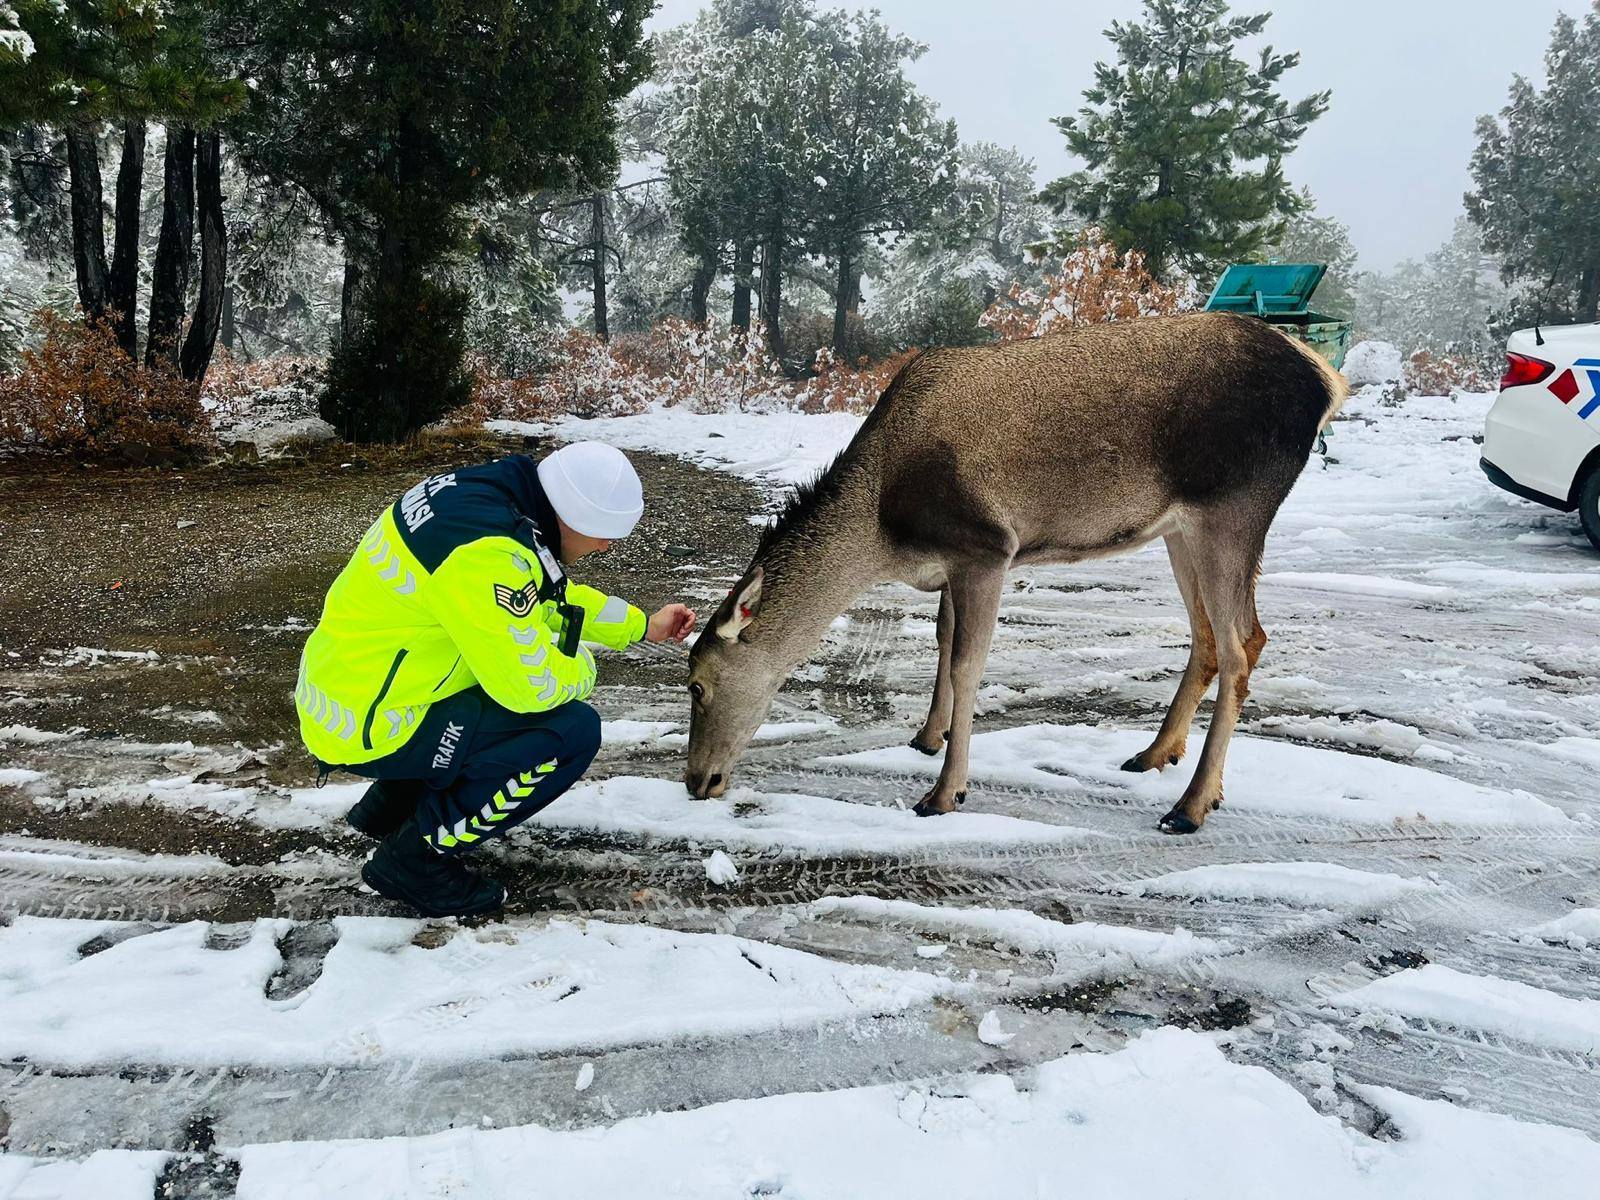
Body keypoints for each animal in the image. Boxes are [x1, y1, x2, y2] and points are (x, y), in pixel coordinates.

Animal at [681, 310, 1344, 838]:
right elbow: (944, 643)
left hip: (1233, 507)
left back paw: (1191, 805)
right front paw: (927, 738)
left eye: (697, 686)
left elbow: (968, 665)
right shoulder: (950, 564)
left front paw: (945, 793)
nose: (695, 782)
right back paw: (1155, 754)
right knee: (1208, 637)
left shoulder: (988, 547)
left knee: (1243, 644)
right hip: (1179, 528)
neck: (884, 533)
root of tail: (1327, 381)